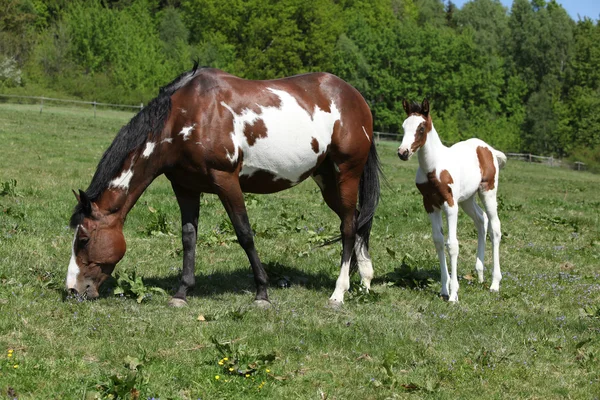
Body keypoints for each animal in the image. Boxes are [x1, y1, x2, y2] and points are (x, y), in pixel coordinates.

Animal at [65, 63, 382, 306]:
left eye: (83, 240)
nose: (72, 291)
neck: (187, 116)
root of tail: (355, 98)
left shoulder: (226, 181)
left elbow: (244, 234)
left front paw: (262, 293)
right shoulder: (185, 187)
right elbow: (188, 237)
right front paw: (182, 292)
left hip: (346, 175)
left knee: (348, 227)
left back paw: (339, 292)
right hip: (326, 180)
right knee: (355, 222)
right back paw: (364, 282)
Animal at [398, 98, 506, 302]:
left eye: (421, 128)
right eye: (403, 126)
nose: (403, 152)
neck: (434, 168)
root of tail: (488, 149)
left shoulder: (450, 205)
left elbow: (452, 245)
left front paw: (454, 294)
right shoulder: (430, 204)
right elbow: (438, 241)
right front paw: (444, 289)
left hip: (487, 191)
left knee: (495, 227)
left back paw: (495, 283)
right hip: (467, 199)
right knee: (481, 220)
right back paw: (480, 274)